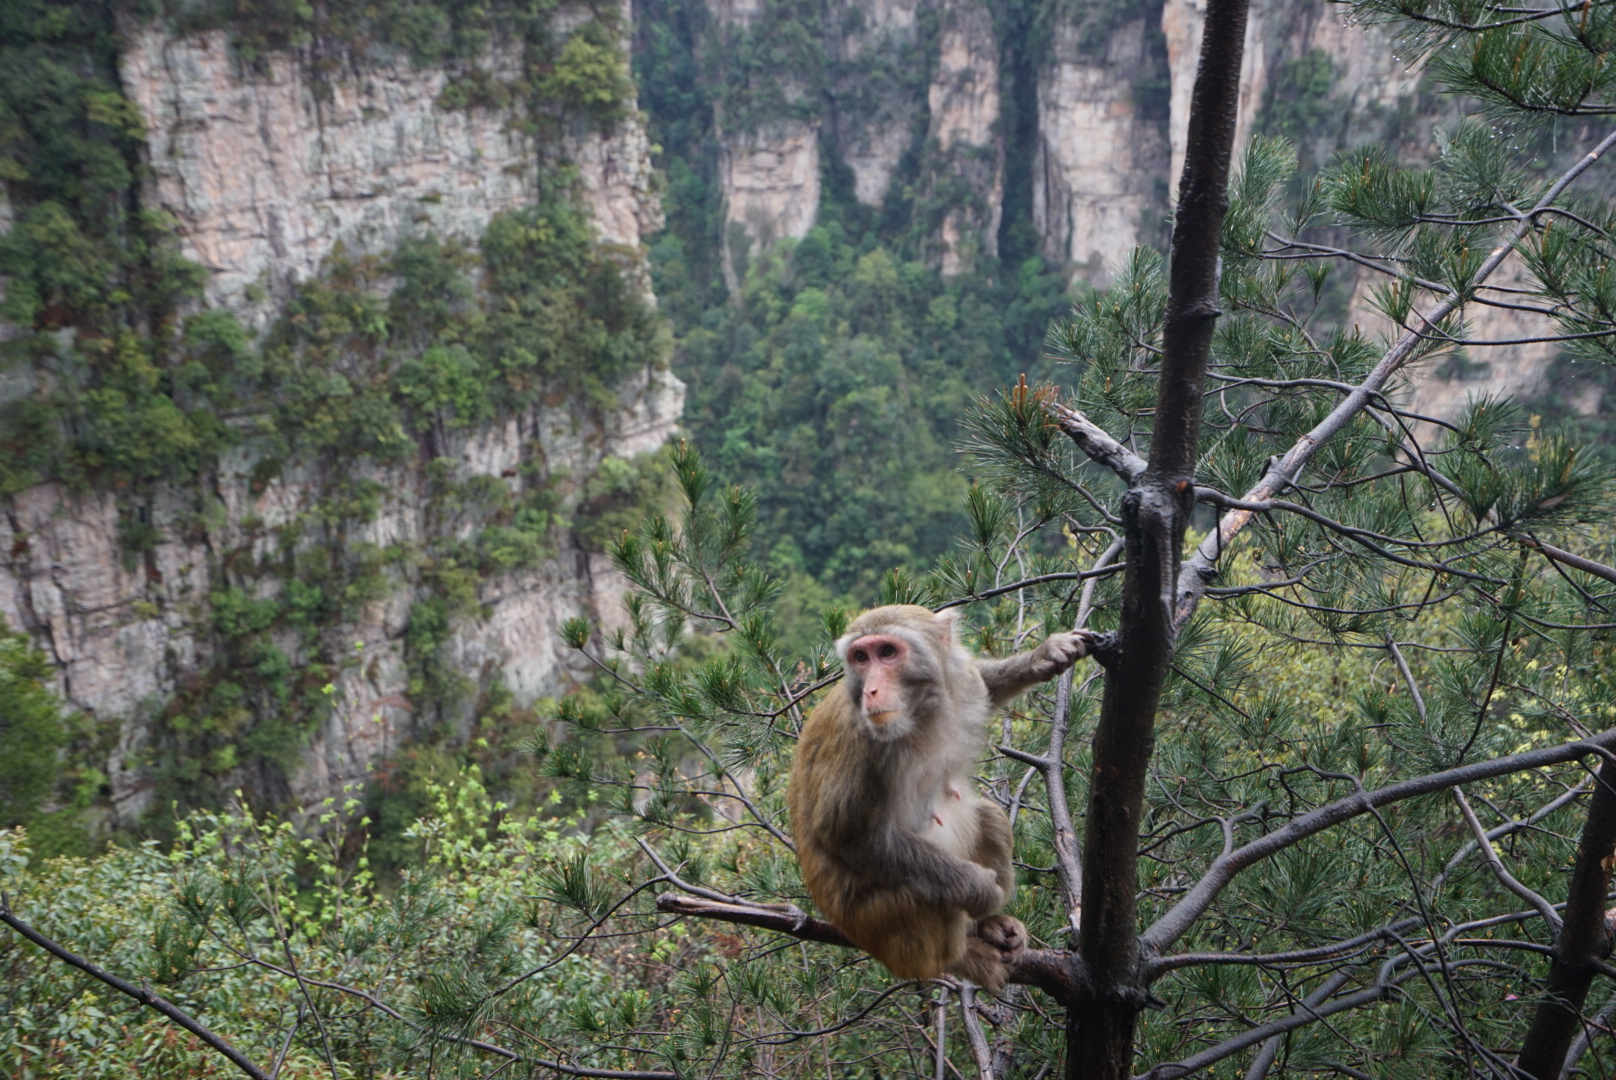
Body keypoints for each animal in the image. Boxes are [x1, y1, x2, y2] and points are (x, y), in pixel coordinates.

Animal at [785, 604, 1098, 989]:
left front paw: (1046, 655)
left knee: (991, 818)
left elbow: (984, 685)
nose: (871, 690)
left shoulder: (961, 685)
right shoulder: (862, 743)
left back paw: (990, 927)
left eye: (886, 652)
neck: (921, 715)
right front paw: (979, 889)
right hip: (881, 924)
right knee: (926, 892)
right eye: (861, 657)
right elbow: (850, 835)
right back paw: (963, 957)